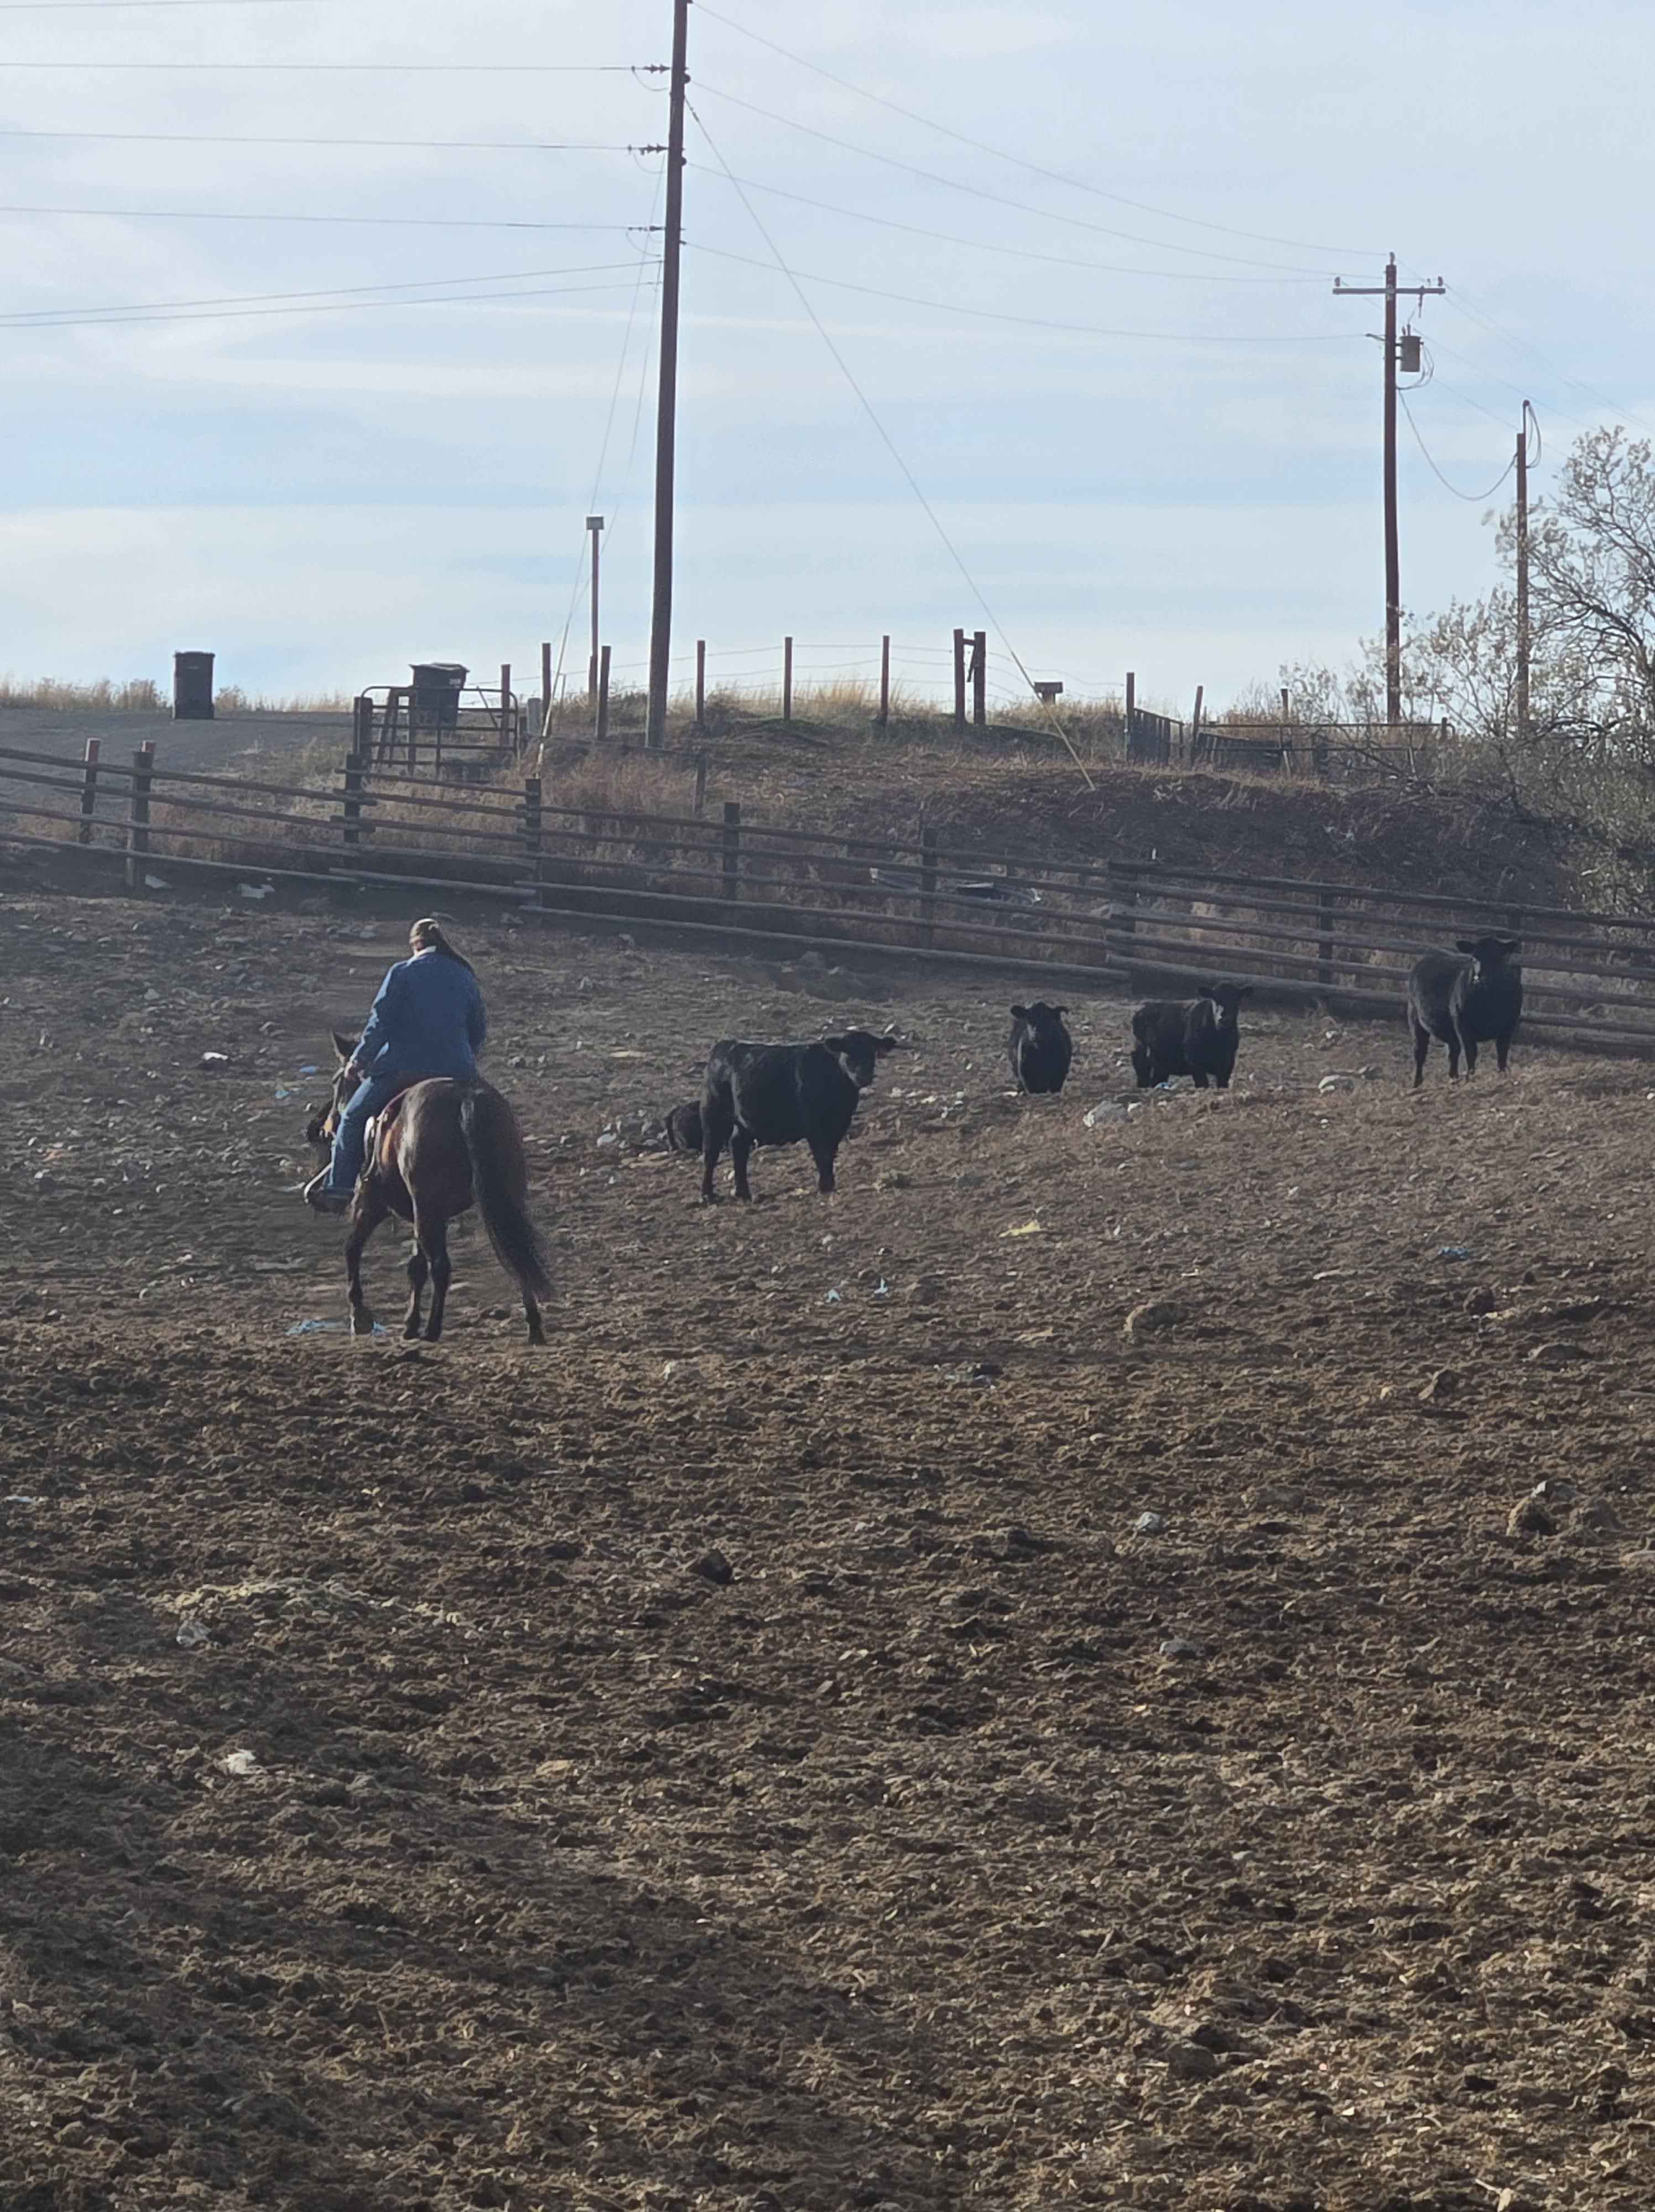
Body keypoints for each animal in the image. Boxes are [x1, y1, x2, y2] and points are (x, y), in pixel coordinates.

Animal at [308, 1034, 551, 1344]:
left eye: (338, 1082)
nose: (319, 1128)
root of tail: (465, 1098)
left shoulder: (373, 1202)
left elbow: (353, 1248)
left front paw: (360, 1315)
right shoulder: (424, 1214)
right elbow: (415, 1266)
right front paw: (410, 1323)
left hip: (423, 1206)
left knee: (441, 1265)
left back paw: (434, 1328)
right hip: (495, 1199)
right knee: (516, 1255)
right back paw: (534, 1327)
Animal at [699, 1029, 902, 1202]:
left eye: (872, 1052)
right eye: (848, 1052)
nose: (863, 1076)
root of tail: (726, 1045)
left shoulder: (839, 1125)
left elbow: (830, 1153)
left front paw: (829, 1183)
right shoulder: (814, 1126)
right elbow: (822, 1154)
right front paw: (825, 1186)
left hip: (743, 1122)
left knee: (738, 1146)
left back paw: (743, 1193)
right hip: (713, 1114)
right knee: (711, 1153)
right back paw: (708, 1194)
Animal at [1131, 983, 1253, 1090]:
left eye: (1237, 1000)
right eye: (1215, 999)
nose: (1224, 1020)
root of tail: (1142, 1011)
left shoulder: (1228, 1062)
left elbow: (1222, 1083)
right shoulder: (1194, 1059)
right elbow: (1202, 1083)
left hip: (1161, 1063)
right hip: (1143, 1053)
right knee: (1142, 1071)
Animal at [1406, 937, 1522, 1087]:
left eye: (1499, 956)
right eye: (1474, 958)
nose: (1481, 977)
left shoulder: (1507, 1029)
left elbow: (1502, 1055)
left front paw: (1502, 1077)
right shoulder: (1464, 1027)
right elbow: (1470, 1054)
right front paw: (1469, 1080)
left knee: (1452, 1052)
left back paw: (1453, 1079)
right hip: (1415, 1018)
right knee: (1420, 1052)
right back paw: (1416, 1084)